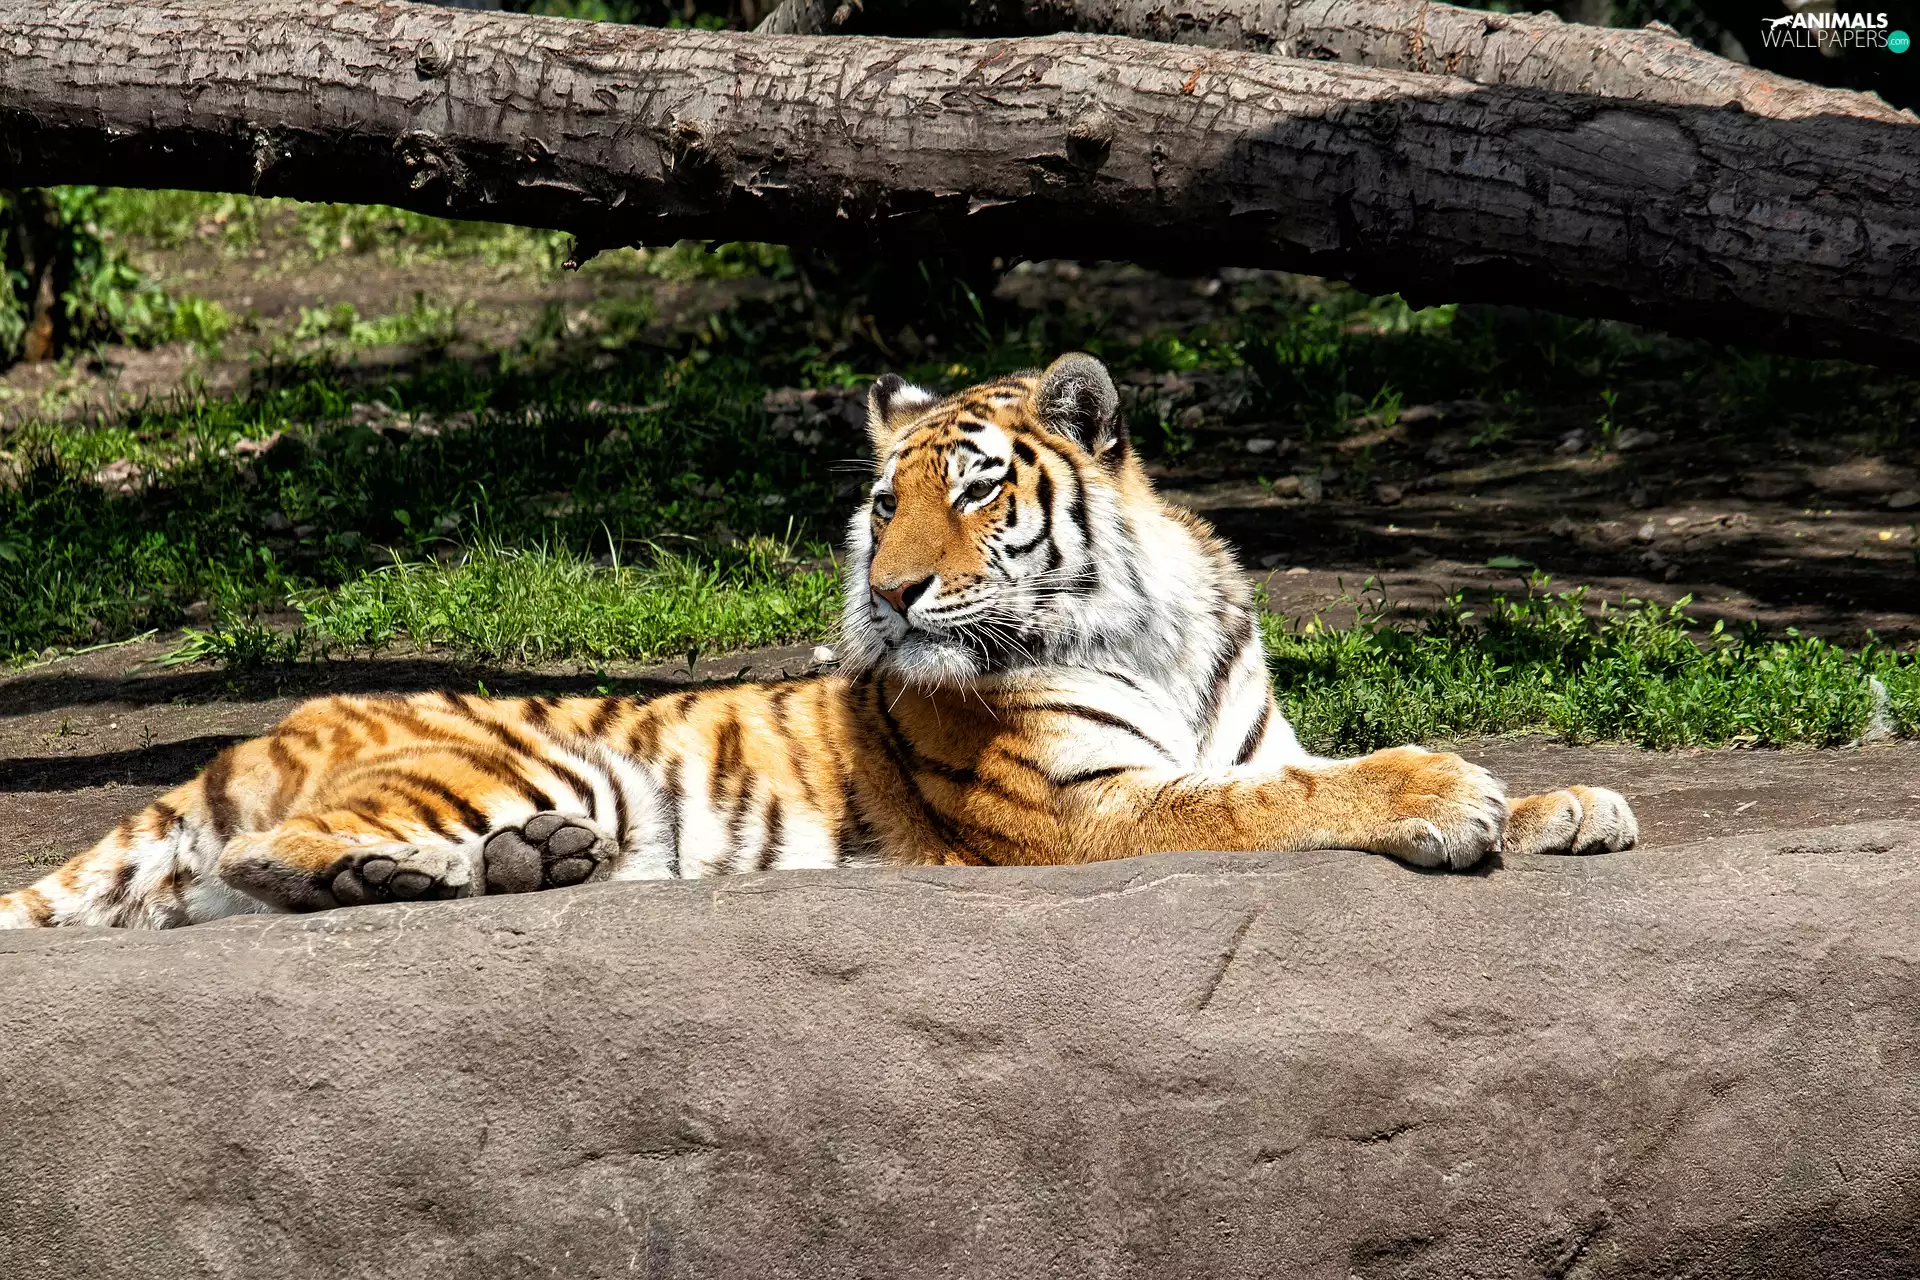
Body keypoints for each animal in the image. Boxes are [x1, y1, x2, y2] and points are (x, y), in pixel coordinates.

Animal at [0, 354, 1636, 930]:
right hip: (504, 758)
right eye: (882, 503)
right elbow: (1282, 797)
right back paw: (422, 876)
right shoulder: (1073, 809)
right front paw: (1452, 796)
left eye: (974, 491)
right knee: (254, 858)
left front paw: (1577, 804)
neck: (1154, 625)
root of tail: (269, 722)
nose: (899, 596)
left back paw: (529, 870)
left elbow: (1299, 764)